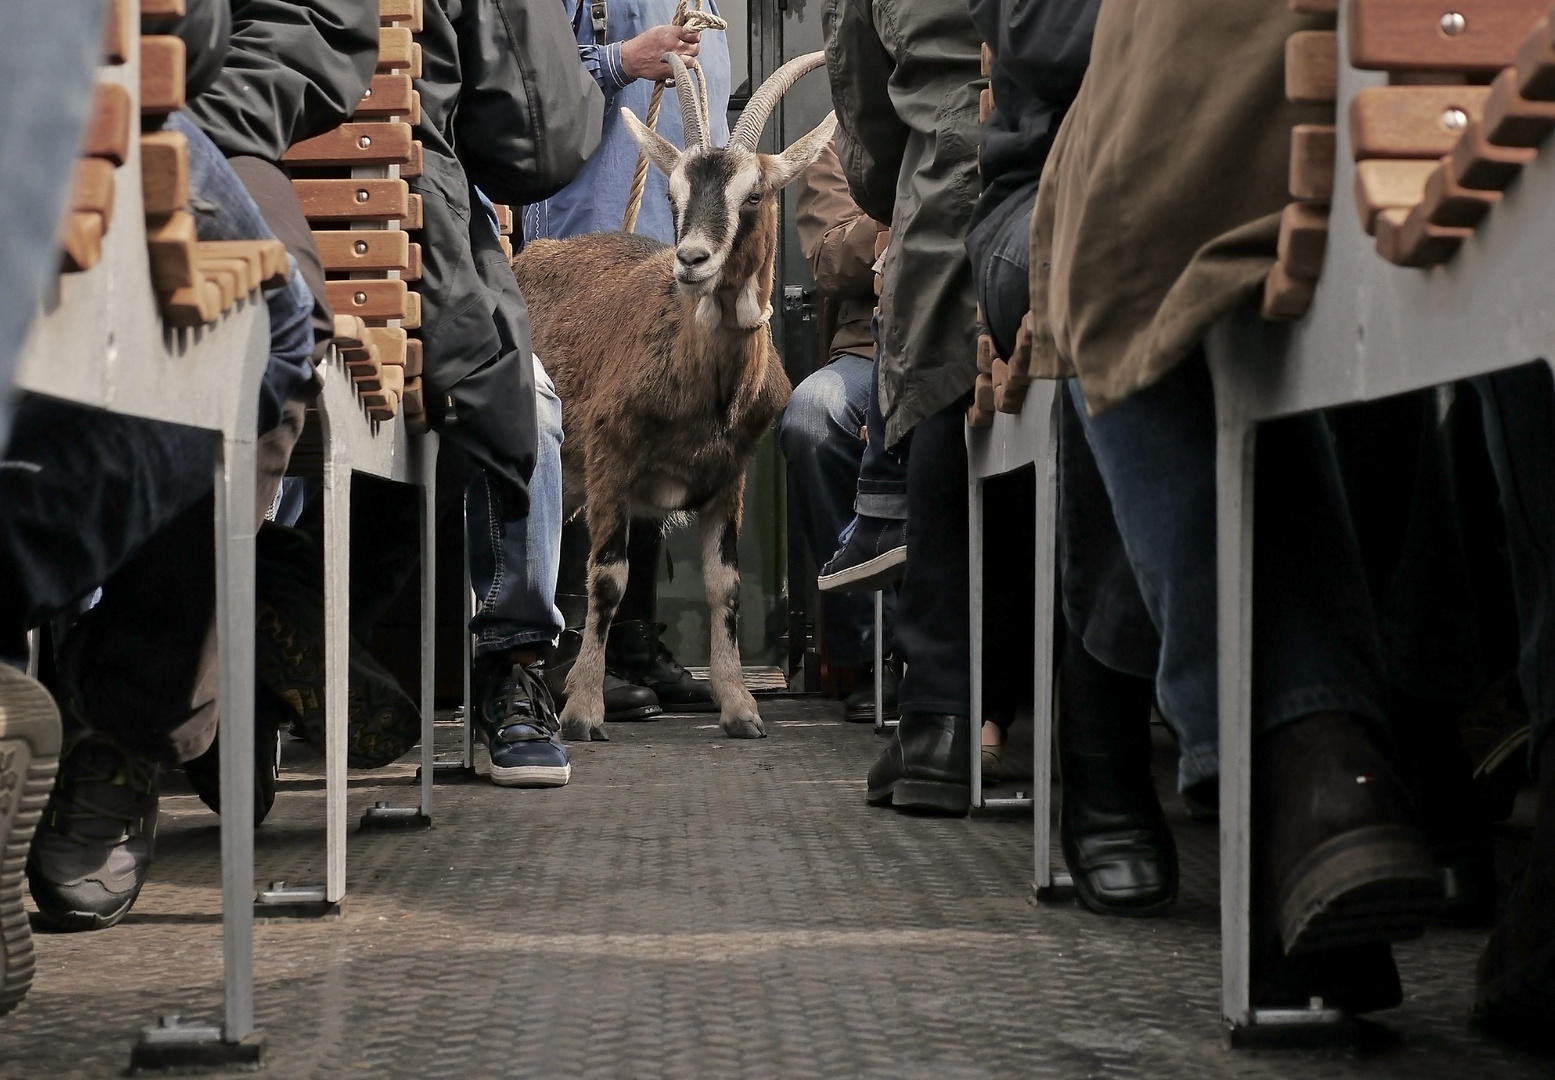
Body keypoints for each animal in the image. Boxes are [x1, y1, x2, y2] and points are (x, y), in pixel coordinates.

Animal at [513, 52, 839, 742]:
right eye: (673, 195)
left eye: (754, 194)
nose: (690, 260)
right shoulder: (610, 461)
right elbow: (607, 579)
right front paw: (584, 711)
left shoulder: (727, 476)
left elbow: (725, 586)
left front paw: (739, 706)